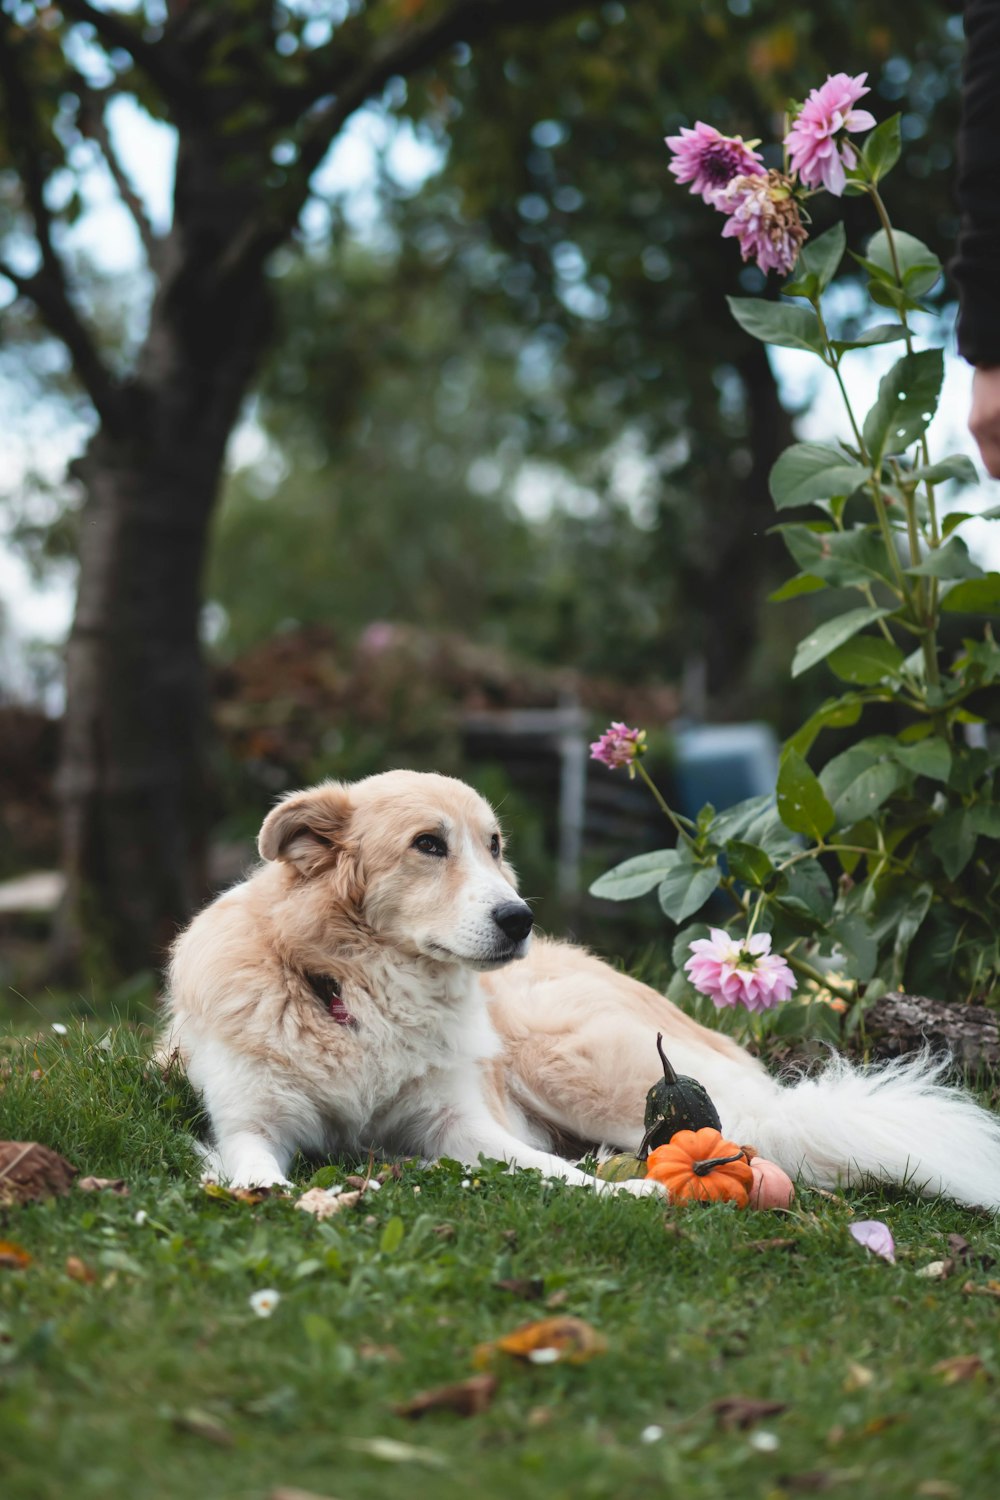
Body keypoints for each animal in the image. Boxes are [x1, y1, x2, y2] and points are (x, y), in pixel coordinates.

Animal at [164, 774, 1000, 1206]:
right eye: (428, 845)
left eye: (495, 846)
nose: (519, 919)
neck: (355, 987)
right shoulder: (251, 1122)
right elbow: (256, 1172)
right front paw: (277, 1194)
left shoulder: (460, 1122)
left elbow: (543, 1169)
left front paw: (626, 1194)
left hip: (568, 1057)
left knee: (743, 1138)